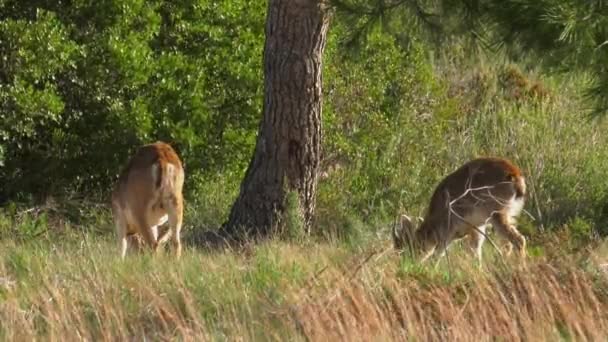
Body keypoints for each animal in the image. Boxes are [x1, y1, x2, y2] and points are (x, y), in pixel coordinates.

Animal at [394, 156, 528, 266]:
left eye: (404, 247)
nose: (404, 263)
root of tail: (514, 174)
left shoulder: (448, 232)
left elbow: (438, 254)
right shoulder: (477, 228)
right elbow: (476, 252)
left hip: (497, 215)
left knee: (519, 240)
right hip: (508, 216)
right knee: (508, 244)